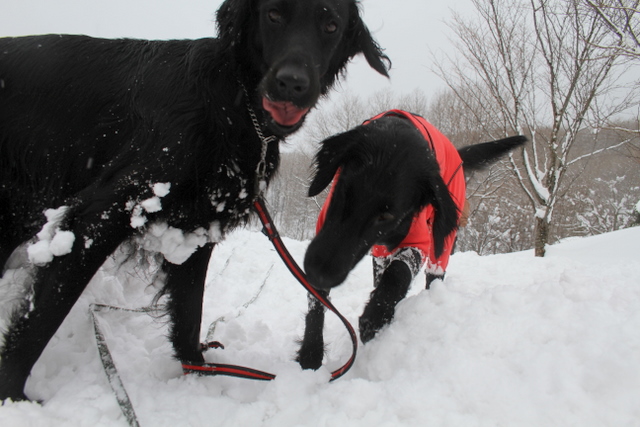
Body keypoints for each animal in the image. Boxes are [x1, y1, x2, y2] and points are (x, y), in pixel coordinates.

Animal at [0, 0, 388, 402]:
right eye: (273, 15)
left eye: (330, 25)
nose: (292, 83)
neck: (234, 106)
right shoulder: (100, 214)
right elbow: (38, 321)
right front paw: (14, 398)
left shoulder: (198, 226)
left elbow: (189, 313)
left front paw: (198, 371)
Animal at [298, 112, 524, 370]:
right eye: (345, 191)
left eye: (386, 216)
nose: (319, 273)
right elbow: (316, 301)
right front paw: (311, 351)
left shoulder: (419, 240)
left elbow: (399, 272)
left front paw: (375, 317)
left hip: (443, 241)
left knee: (434, 275)